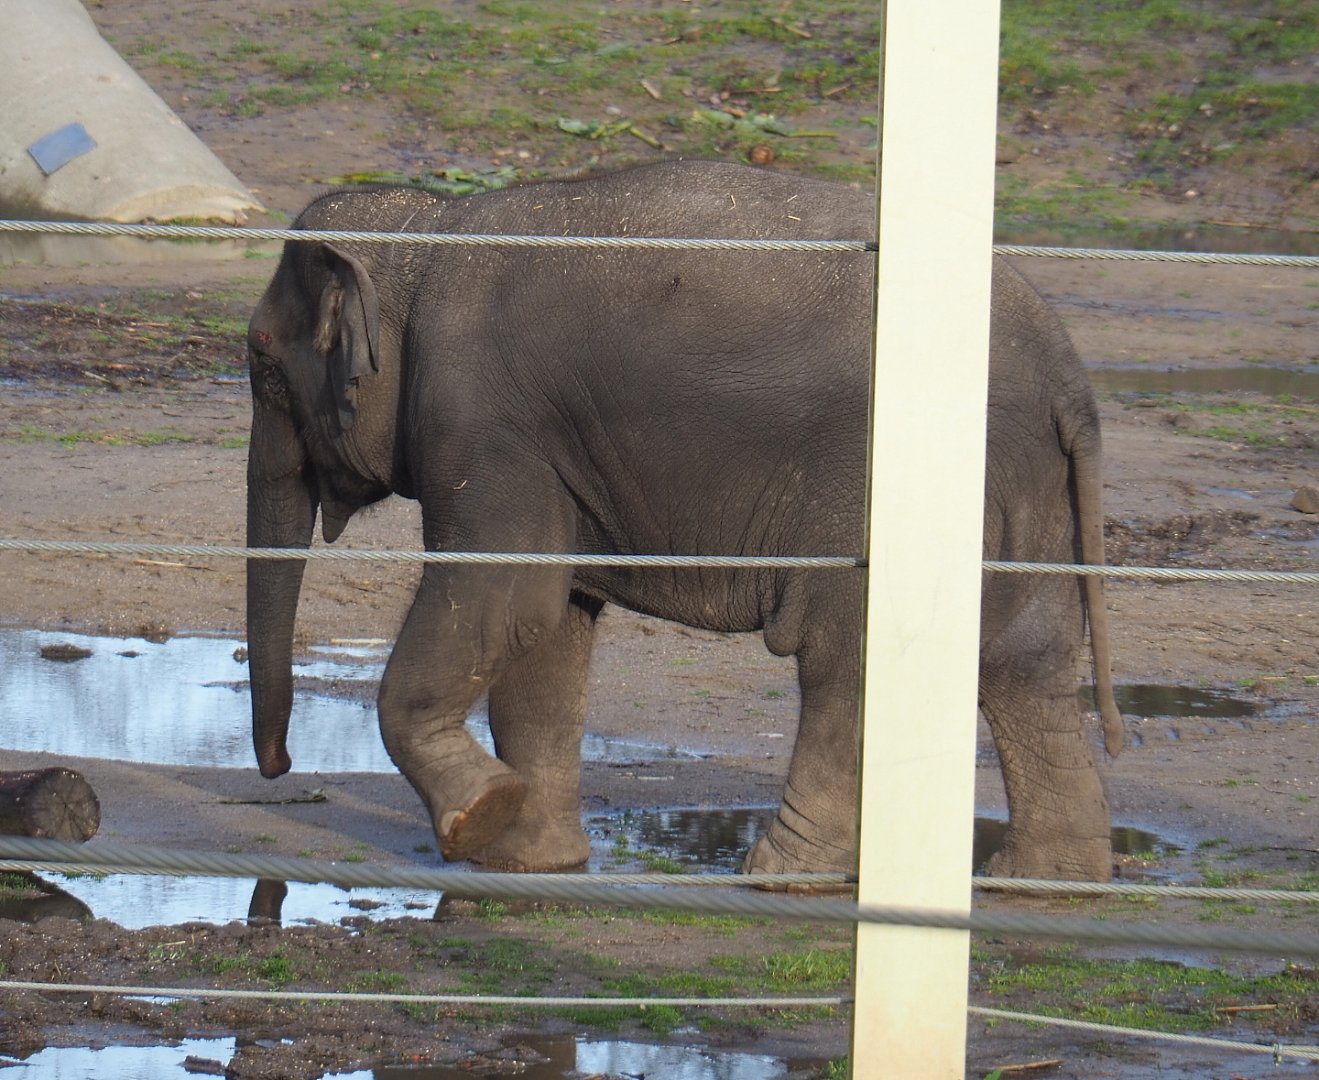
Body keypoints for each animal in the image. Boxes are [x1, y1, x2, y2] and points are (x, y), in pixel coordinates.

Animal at [245, 159, 1123, 883]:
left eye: (261, 363)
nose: (280, 769)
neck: (426, 232)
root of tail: (1069, 379)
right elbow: (548, 624)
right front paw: (531, 860)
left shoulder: (482, 420)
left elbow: (503, 598)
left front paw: (479, 819)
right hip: (1021, 492)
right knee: (1024, 662)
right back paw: (1045, 880)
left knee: (851, 655)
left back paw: (782, 875)